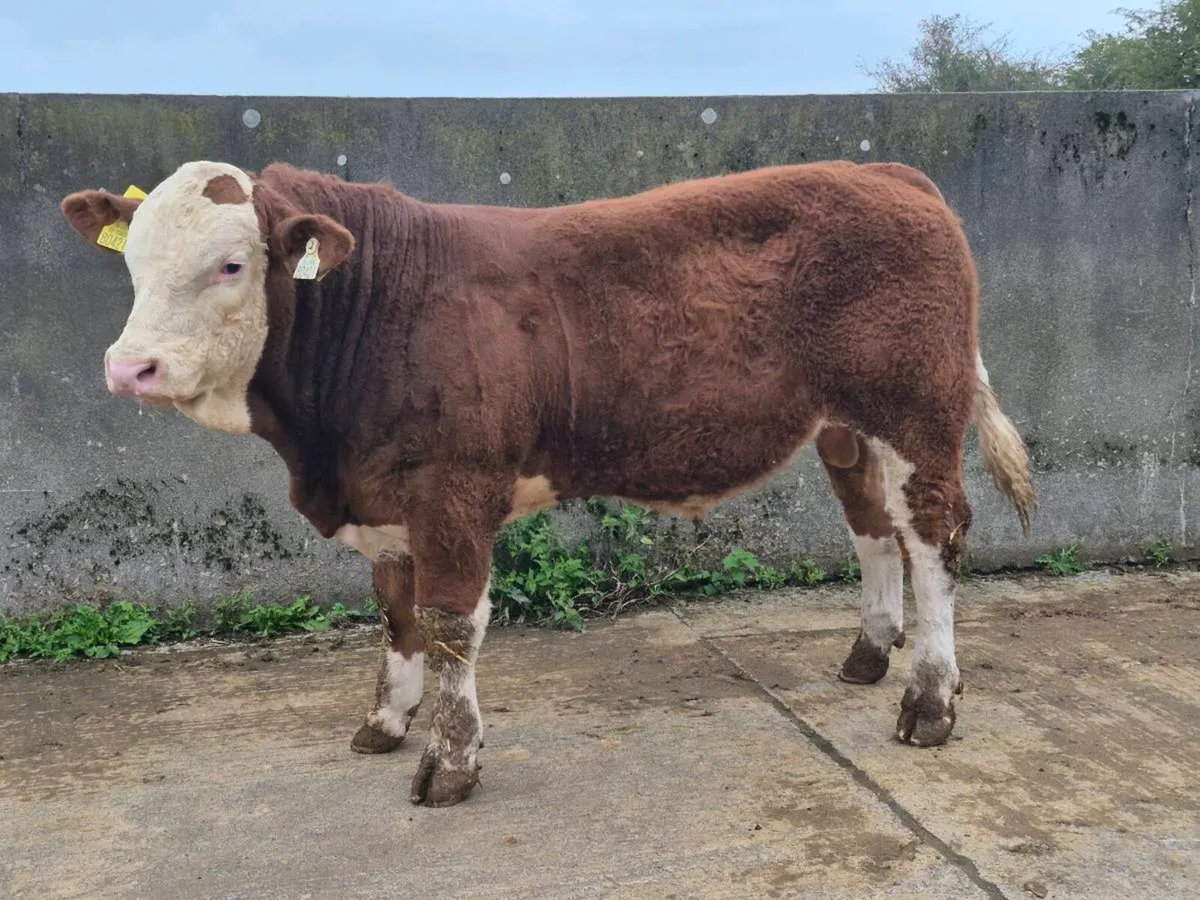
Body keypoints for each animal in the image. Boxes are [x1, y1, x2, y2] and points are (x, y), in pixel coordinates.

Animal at [60, 157, 1035, 808]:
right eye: (131, 261)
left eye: (232, 263)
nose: (129, 368)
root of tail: (888, 172)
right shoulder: (385, 494)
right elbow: (395, 614)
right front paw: (385, 723)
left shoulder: (451, 489)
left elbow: (449, 625)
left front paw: (449, 765)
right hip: (845, 426)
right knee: (872, 527)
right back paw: (869, 653)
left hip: (914, 407)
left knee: (934, 535)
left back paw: (929, 701)